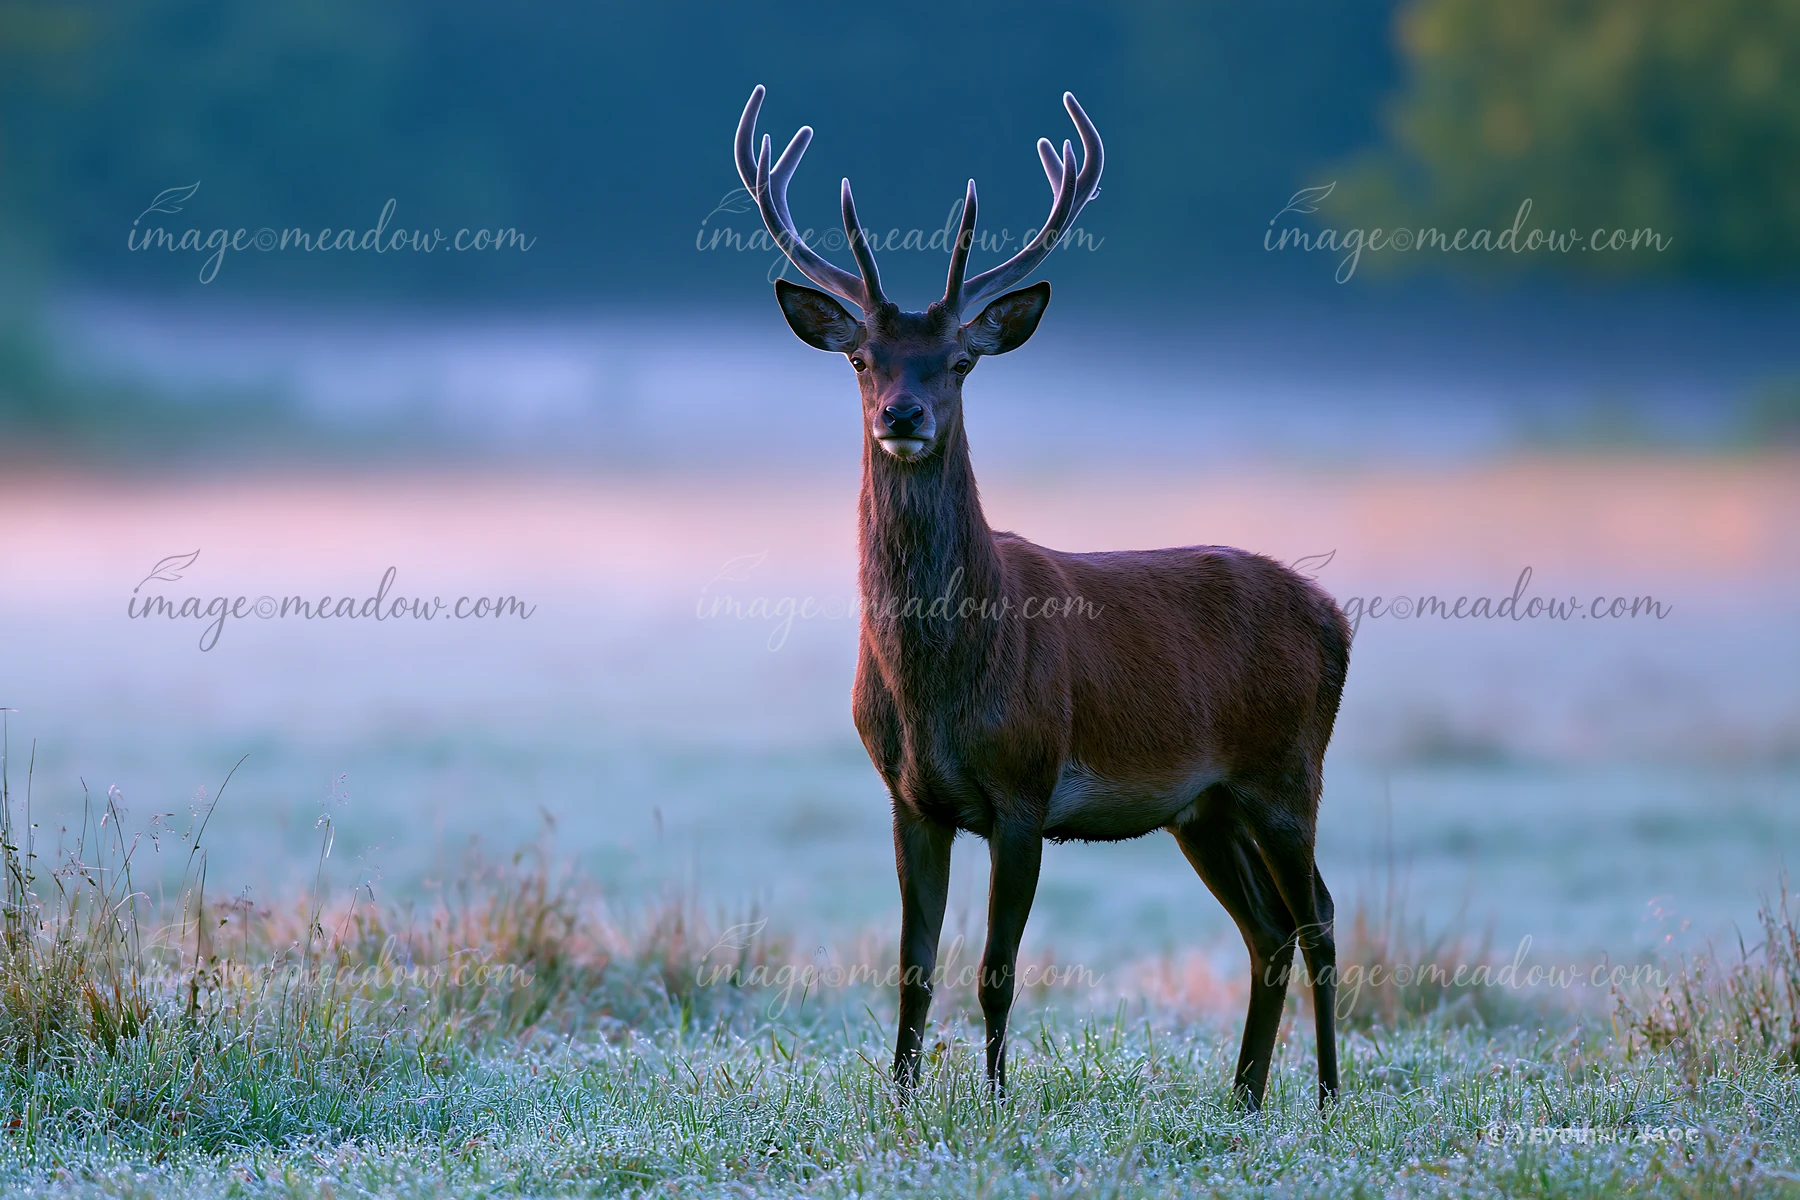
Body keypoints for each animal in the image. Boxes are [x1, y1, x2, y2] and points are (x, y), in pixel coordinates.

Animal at [733, 85, 1351, 1111]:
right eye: (862, 358)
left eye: (960, 361)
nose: (903, 416)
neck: (938, 684)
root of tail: (1337, 618)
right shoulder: (908, 796)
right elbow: (913, 965)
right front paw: (901, 1098)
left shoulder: (1026, 788)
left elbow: (997, 969)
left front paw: (994, 1101)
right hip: (1205, 805)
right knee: (1266, 929)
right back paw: (1246, 1097)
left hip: (1286, 767)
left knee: (1322, 920)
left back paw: (1330, 1095)